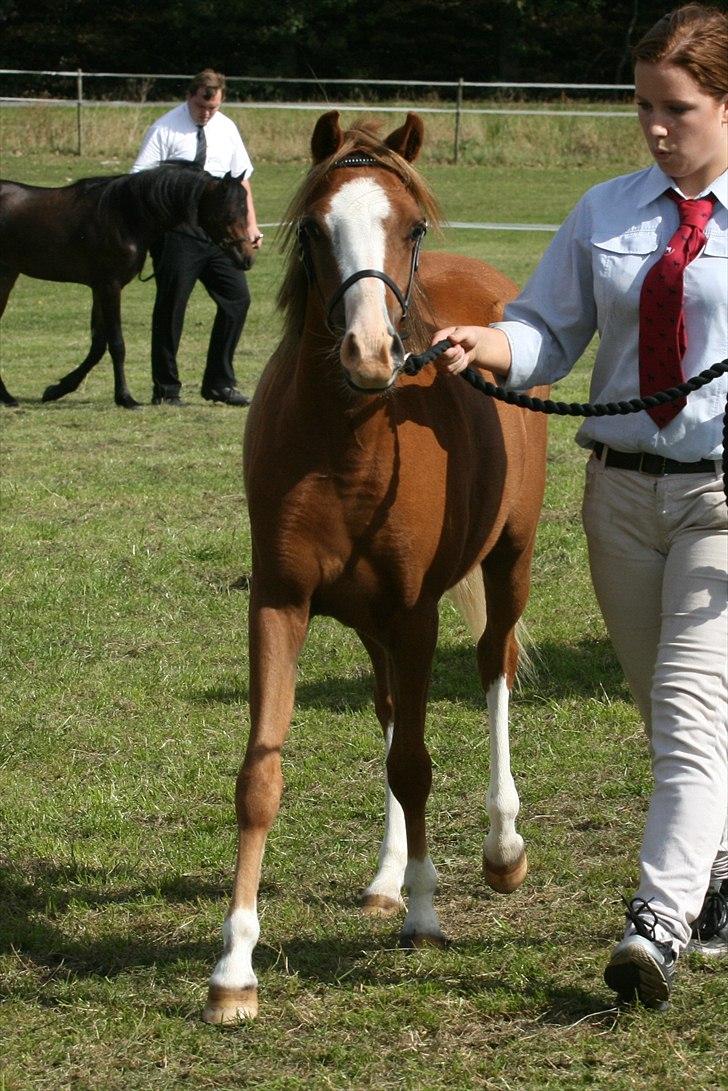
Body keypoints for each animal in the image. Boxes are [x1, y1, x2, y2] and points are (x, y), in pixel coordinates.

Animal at [0, 165, 255, 408]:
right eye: (228, 213)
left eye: (246, 210)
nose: (246, 258)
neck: (123, 216)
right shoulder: (110, 287)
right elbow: (117, 345)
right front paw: (125, 398)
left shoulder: (99, 288)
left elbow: (98, 345)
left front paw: (58, 389)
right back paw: (7, 397)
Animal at [202, 111, 549, 1023]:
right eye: (317, 228)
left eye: (413, 226)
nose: (368, 352)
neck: (351, 443)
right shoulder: (280, 603)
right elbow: (262, 776)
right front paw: (234, 967)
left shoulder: (416, 611)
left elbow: (417, 764)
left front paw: (426, 916)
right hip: (370, 624)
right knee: (393, 708)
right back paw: (388, 876)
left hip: (510, 561)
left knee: (494, 668)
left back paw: (501, 847)